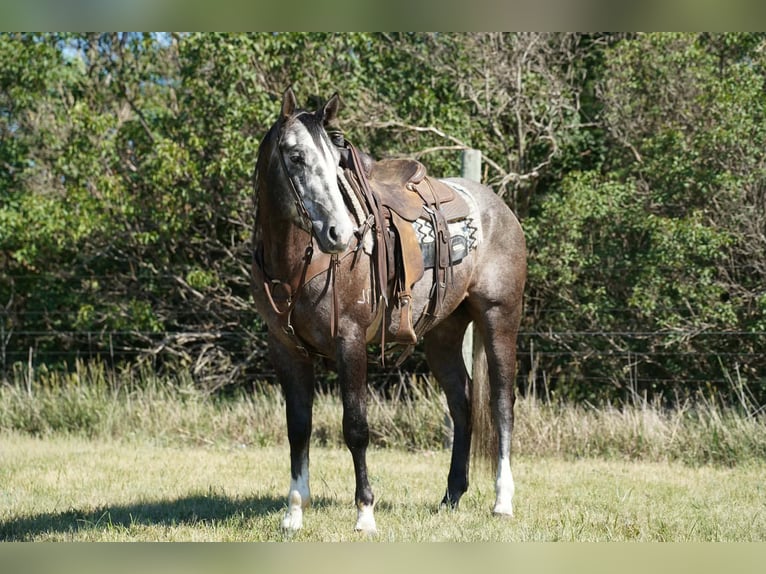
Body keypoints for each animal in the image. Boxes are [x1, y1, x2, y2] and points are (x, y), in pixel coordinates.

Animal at [251, 87, 526, 534]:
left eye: (336, 161)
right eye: (295, 156)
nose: (339, 234)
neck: (294, 264)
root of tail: (497, 207)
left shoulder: (349, 341)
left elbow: (355, 427)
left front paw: (365, 513)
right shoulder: (285, 349)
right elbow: (298, 428)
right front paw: (293, 512)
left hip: (500, 318)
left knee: (501, 402)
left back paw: (502, 501)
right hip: (443, 336)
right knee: (463, 401)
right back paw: (452, 495)